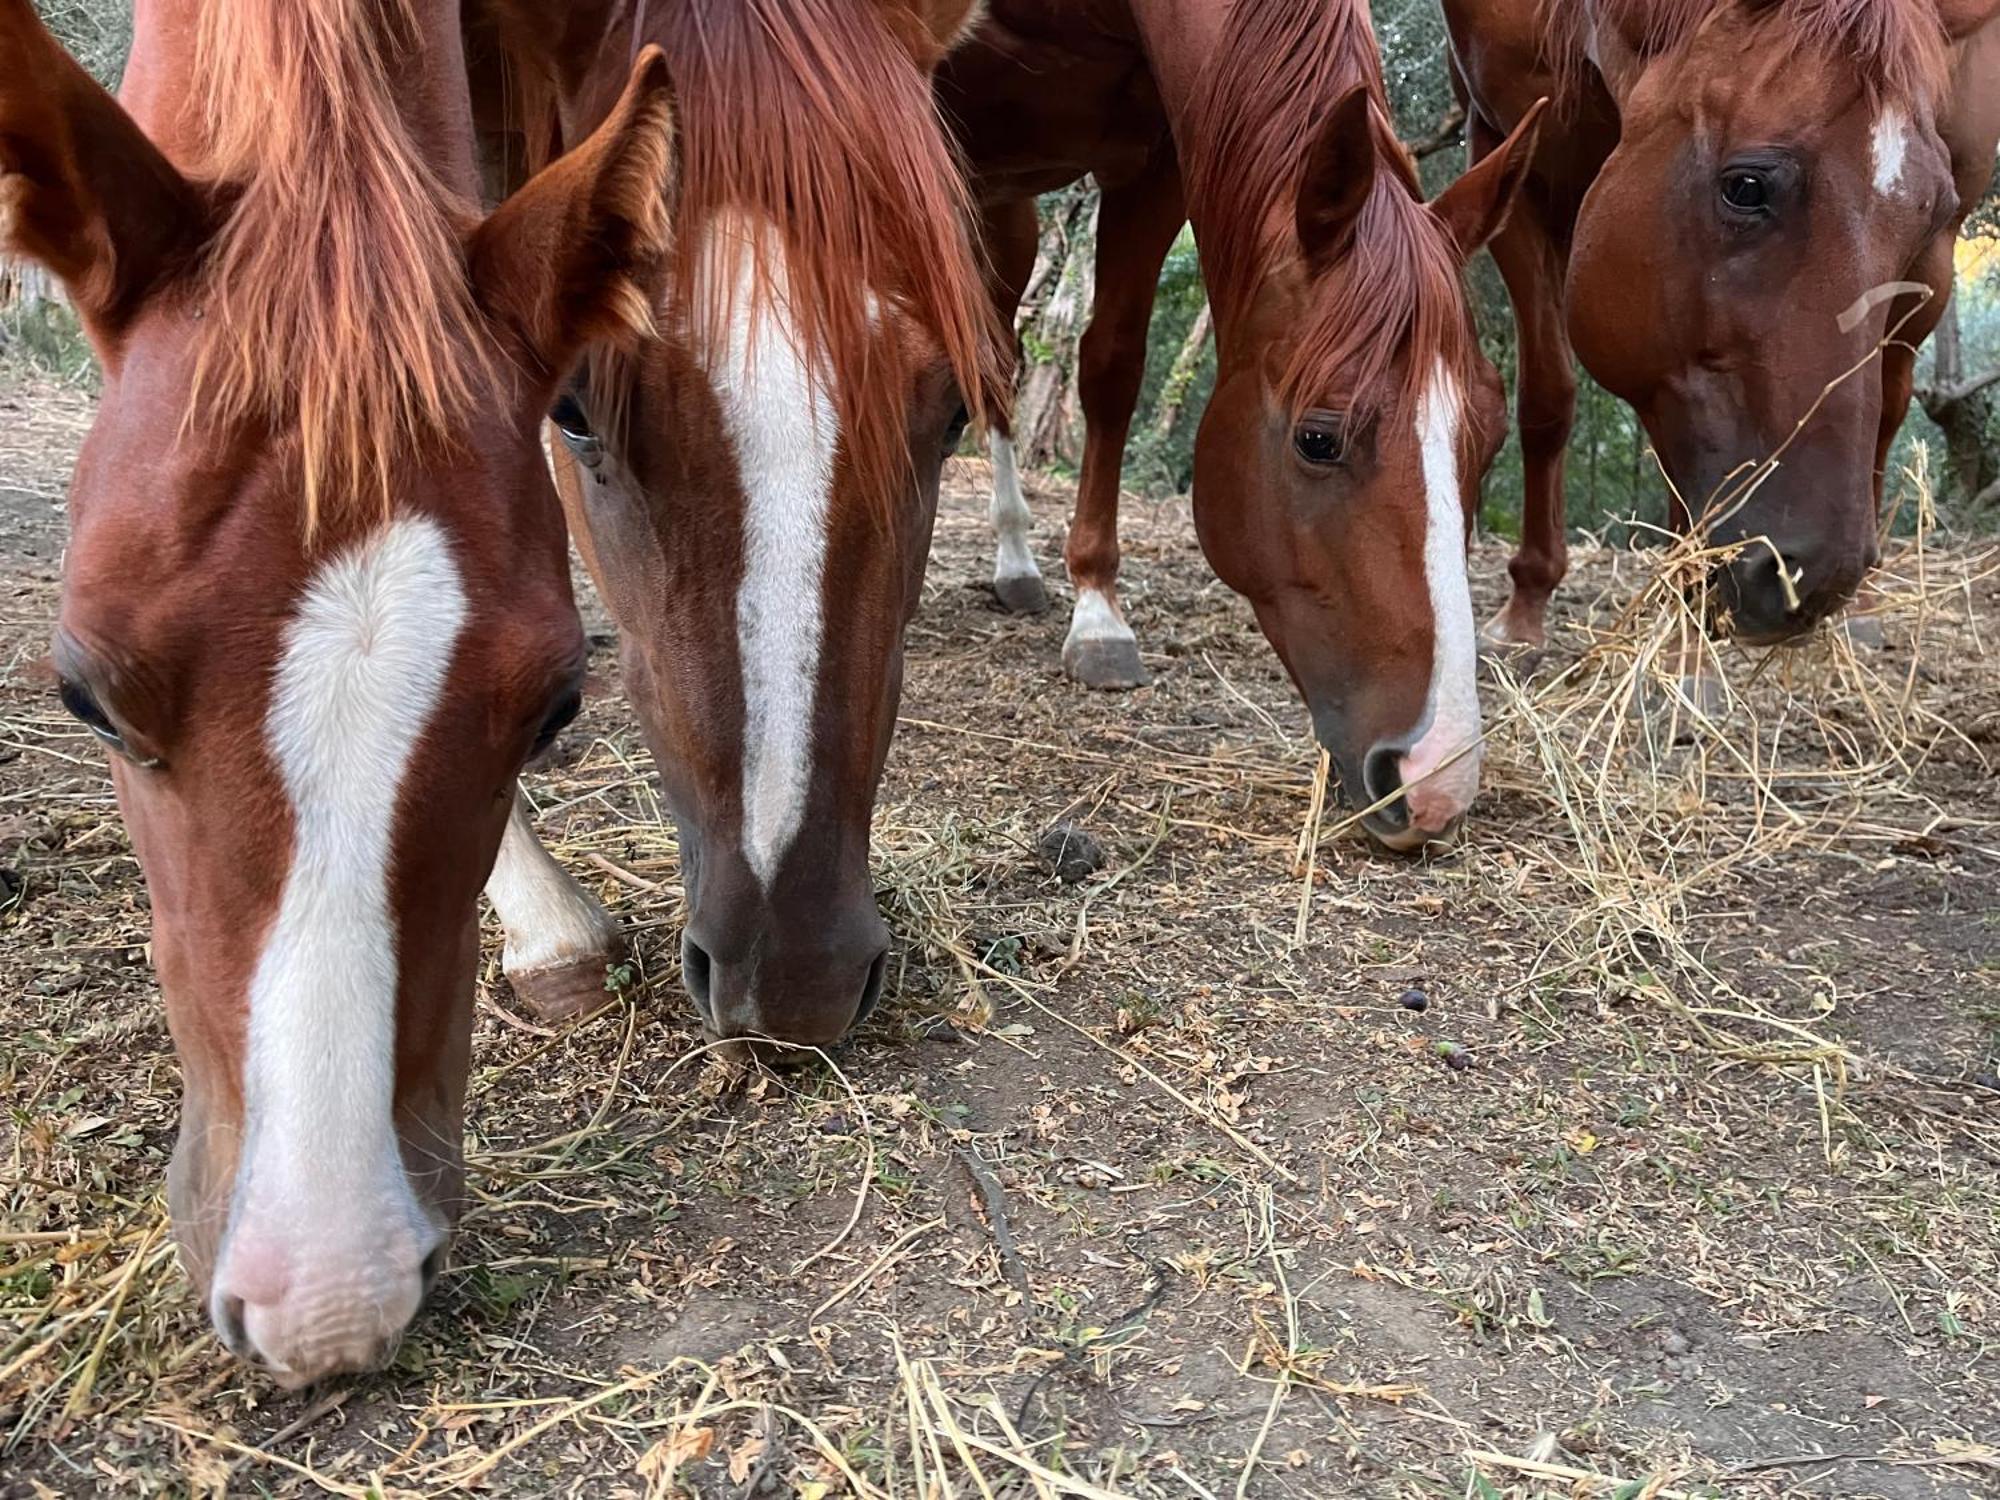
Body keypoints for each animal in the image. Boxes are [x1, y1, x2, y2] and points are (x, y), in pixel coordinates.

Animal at [940, 0, 1544, 848]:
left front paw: (1097, 611)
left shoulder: (1153, 161)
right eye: (1318, 439)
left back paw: (1016, 564)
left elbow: (1112, 365)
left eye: (1488, 442)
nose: (1434, 785)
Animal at [1448, 0, 2000, 648]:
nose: (1815, 580)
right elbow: (1547, 402)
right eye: (1746, 187)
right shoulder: (1506, 153)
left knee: (1888, 405)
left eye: (1927, 215)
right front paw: (1527, 606)